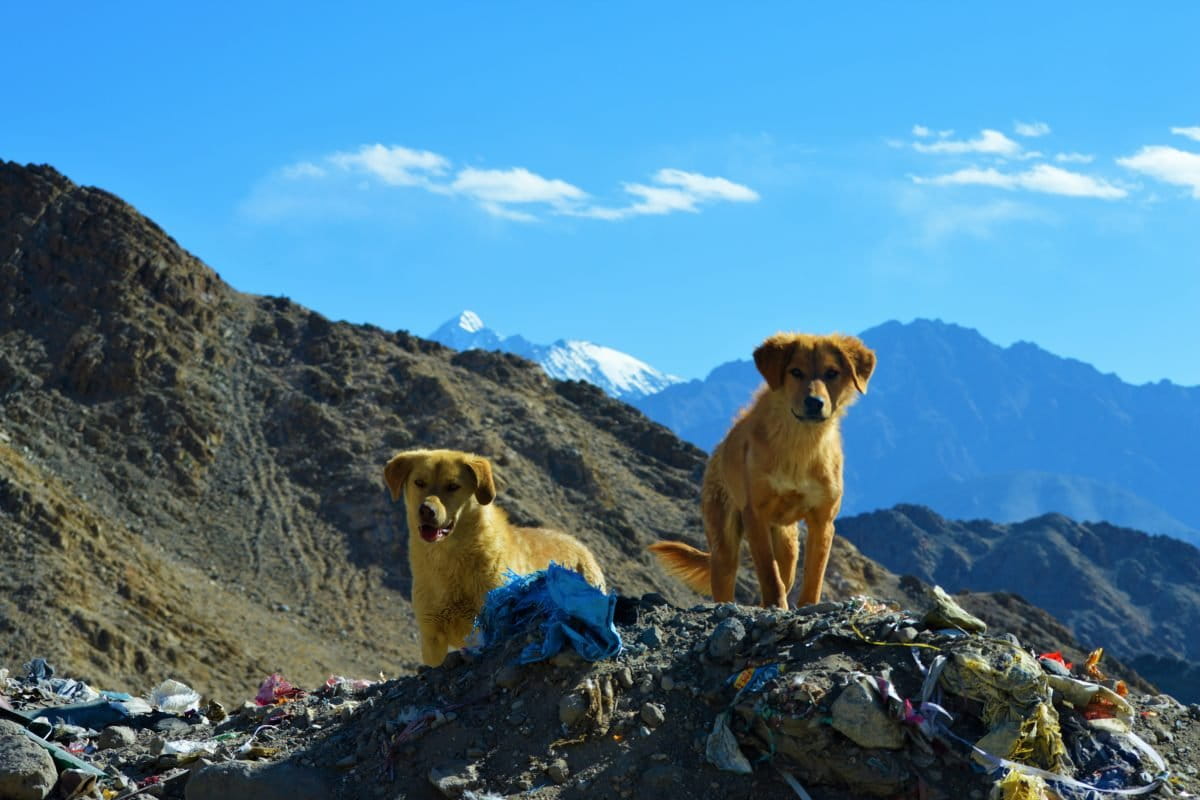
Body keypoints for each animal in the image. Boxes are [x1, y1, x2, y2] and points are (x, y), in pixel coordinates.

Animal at [386, 448, 609, 666]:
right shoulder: (432, 636)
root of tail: (581, 546)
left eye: (453, 486)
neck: (449, 561)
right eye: (419, 482)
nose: (426, 510)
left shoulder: (487, 625)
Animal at [652, 335, 878, 609]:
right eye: (795, 372)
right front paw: (776, 604)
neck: (800, 445)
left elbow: (814, 573)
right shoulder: (755, 514)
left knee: (786, 572)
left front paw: (808, 605)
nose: (815, 403)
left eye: (832, 372)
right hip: (724, 545)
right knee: (727, 579)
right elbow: (768, 572)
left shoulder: (823, 520)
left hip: (788, 546)